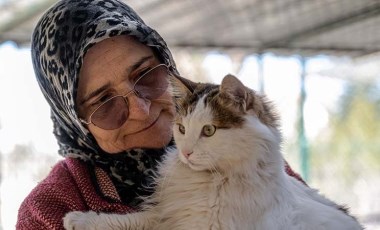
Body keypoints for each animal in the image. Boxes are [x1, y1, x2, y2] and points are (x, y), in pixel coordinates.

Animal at [63, 74, 362, 229]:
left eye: (209, 130)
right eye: (181, 128)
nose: (186, 153)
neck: (214, 180)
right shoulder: (174, 214)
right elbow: (133, 219)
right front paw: (79, 219)